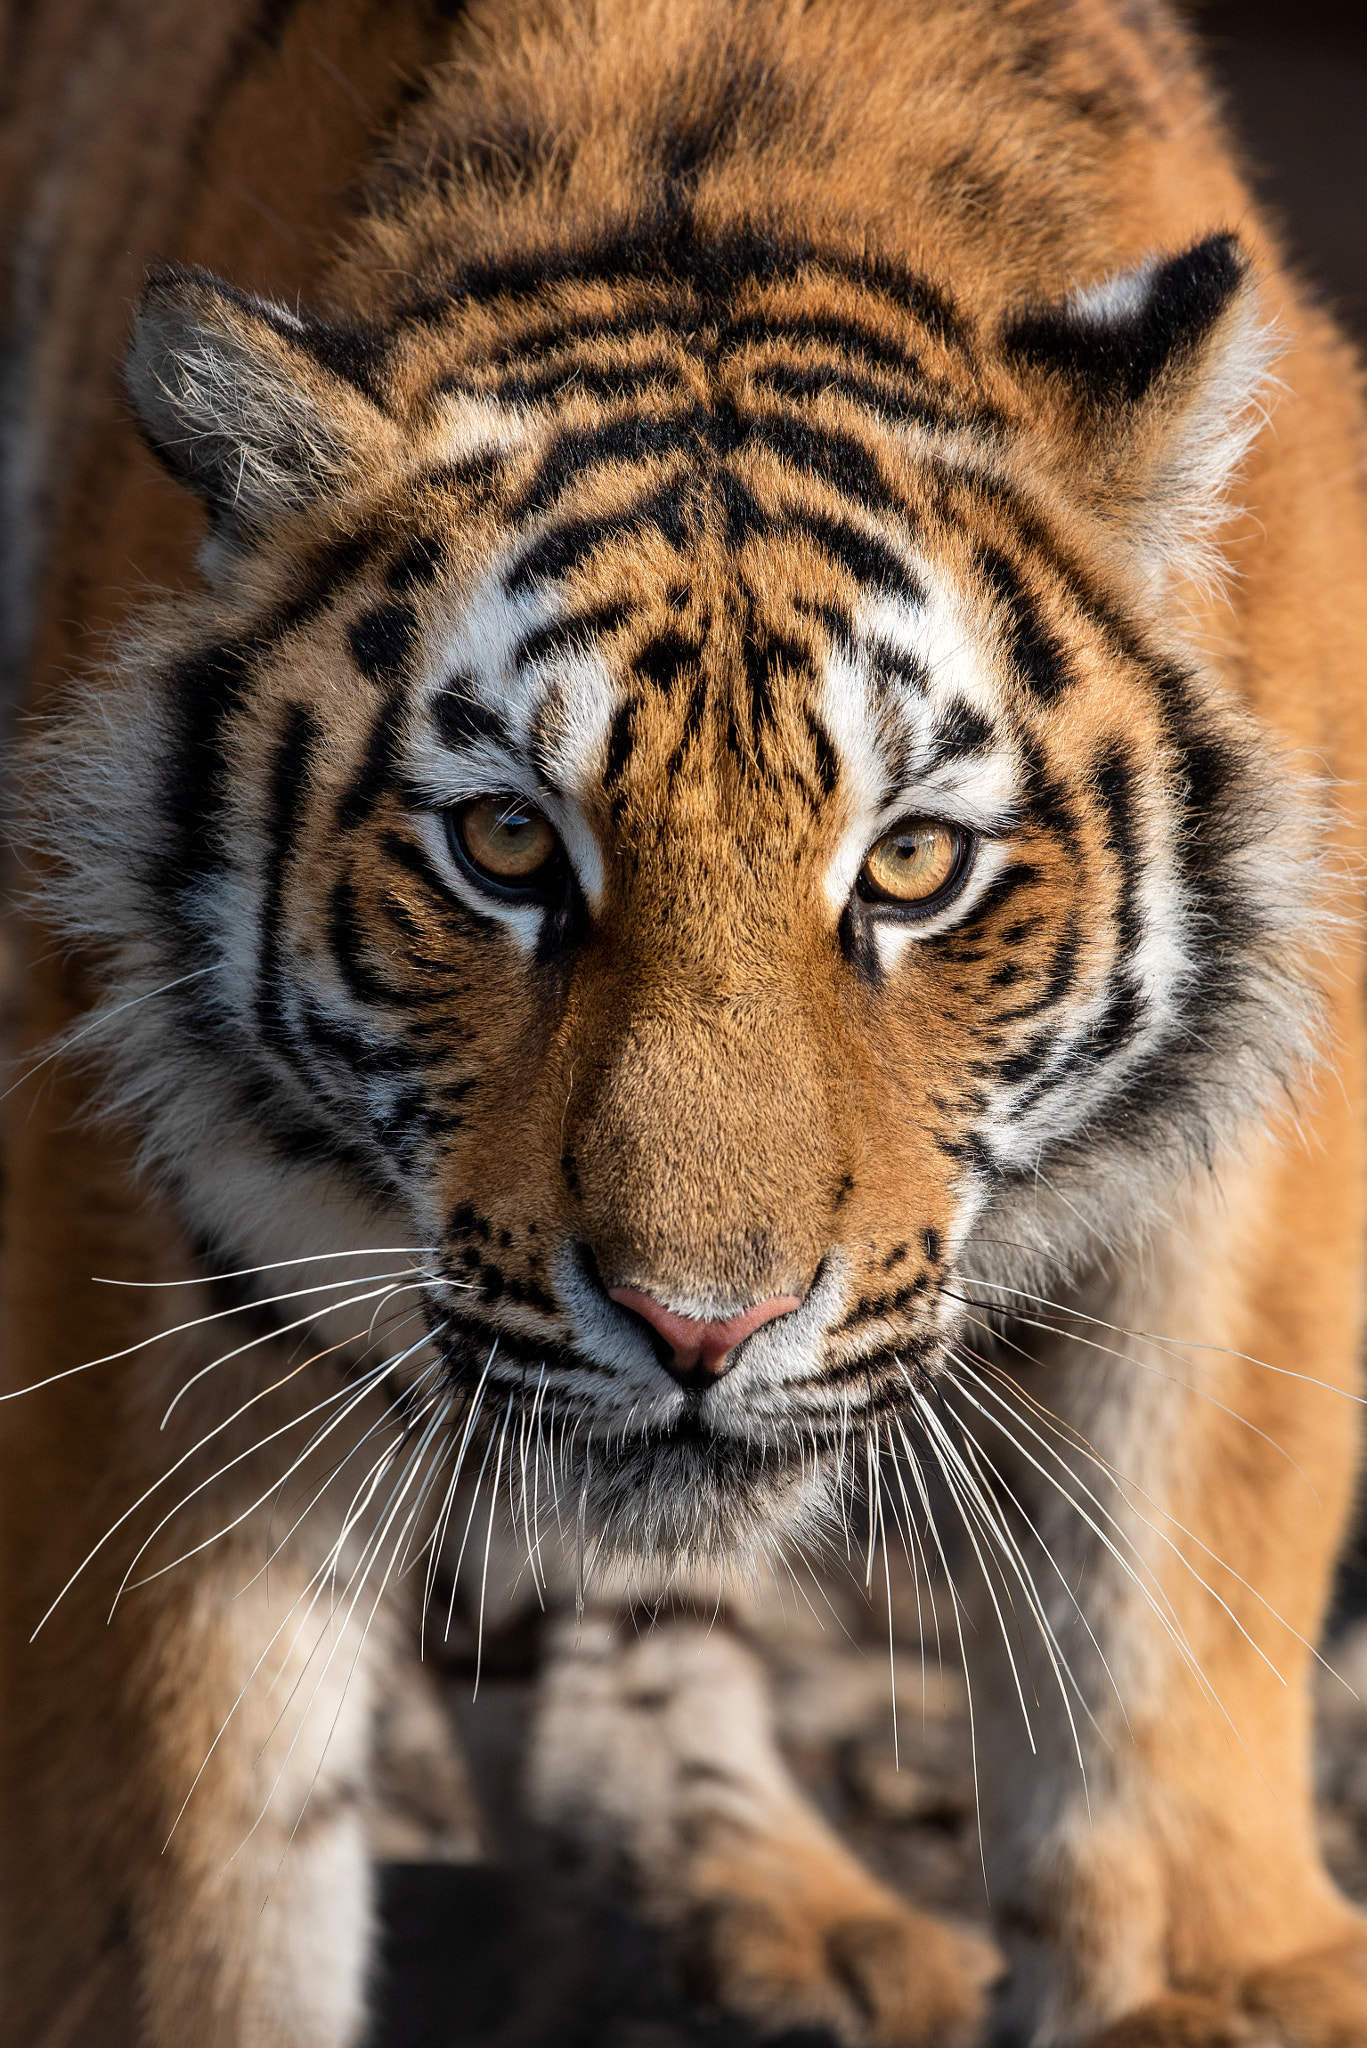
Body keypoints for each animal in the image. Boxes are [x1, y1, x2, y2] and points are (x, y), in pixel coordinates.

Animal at [5, 0, 1367, 2043]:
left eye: (909, 866)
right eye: (504, 844)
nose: (699, 1329)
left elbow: (1179, 1548)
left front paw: (1210, 1978)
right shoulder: (146, 1214)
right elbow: (194, 1857)